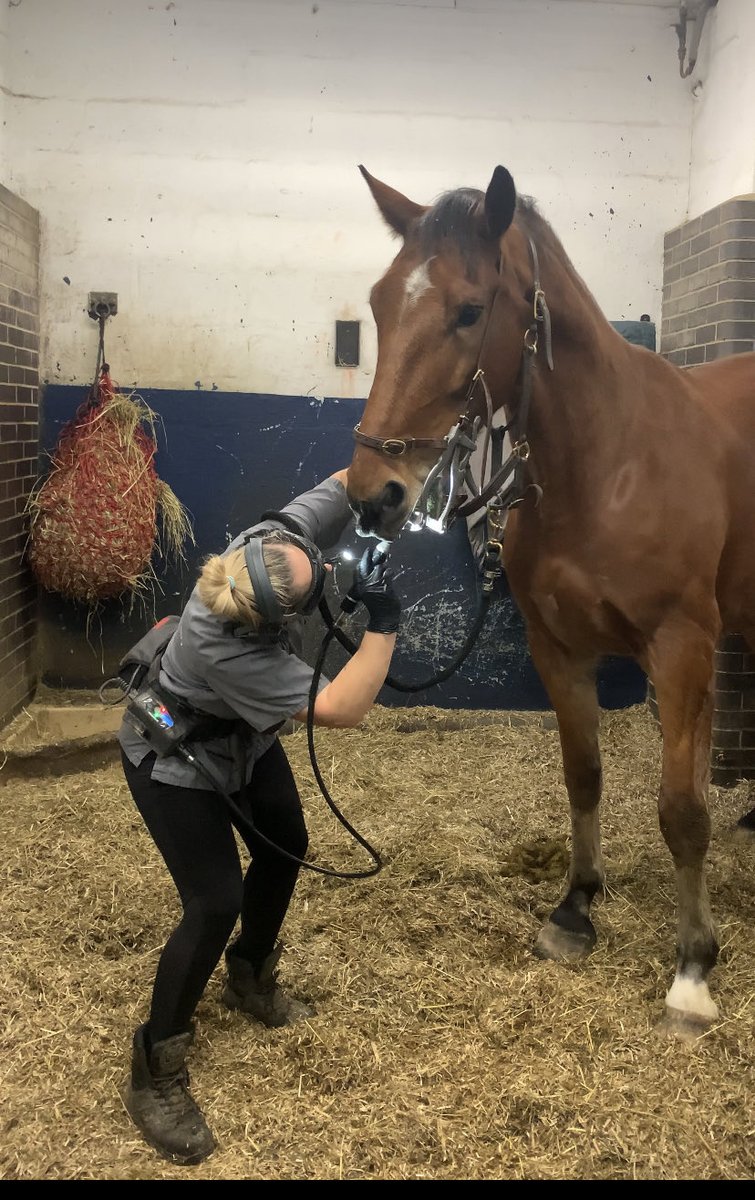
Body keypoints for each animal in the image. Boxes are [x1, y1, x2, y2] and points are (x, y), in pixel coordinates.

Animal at [345, 164, 753, 1036]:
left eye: (469, 310)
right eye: (379, 302)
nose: (373, 494)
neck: (608, 459)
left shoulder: (680, 648)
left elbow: (680, 808)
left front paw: (692, 968)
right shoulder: (558, 647)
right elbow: (583, 773)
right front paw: (575, 906)